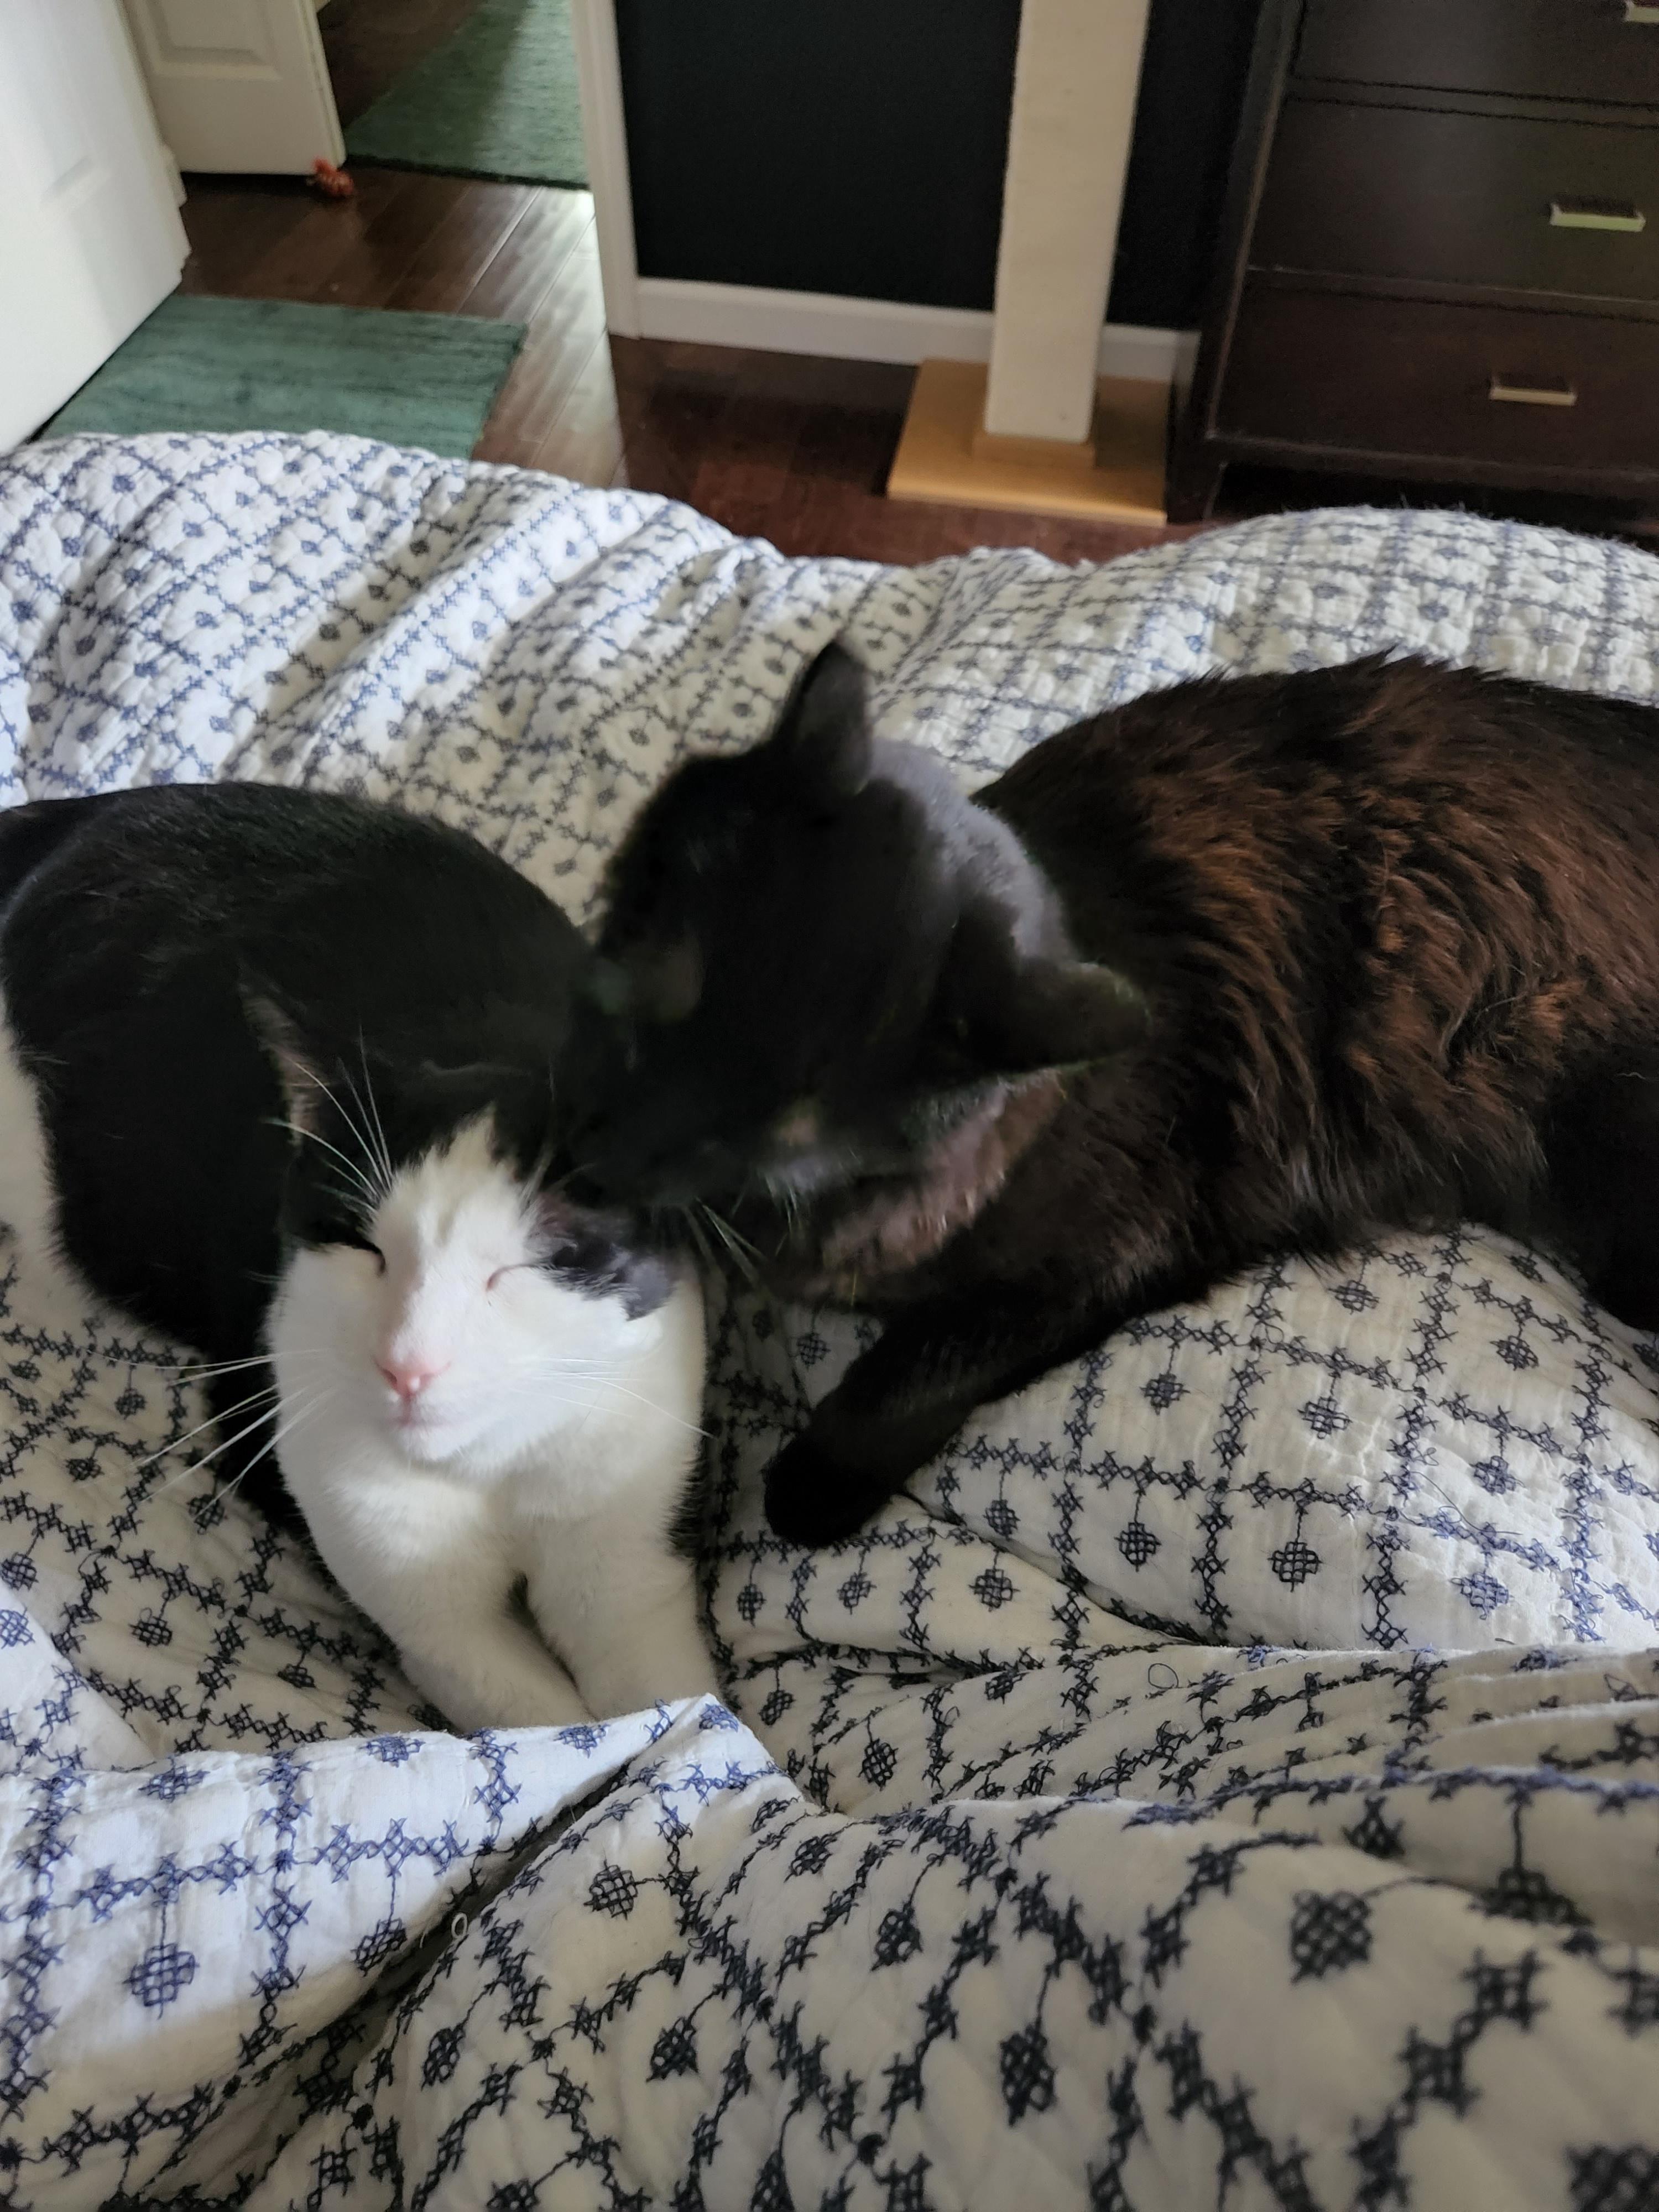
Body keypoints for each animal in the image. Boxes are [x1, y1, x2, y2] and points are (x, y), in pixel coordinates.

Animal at [0, 784, 713, 1730]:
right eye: (362, 1246)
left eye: (520, 1268)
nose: (408, 1365)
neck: (484, 1468)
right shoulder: (321, 1461)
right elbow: (540, 1717)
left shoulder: (635, 1501)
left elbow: (672, 1698)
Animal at [568, 640, 1659, 1546]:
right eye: (655, 996)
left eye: (790, 1121)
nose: (607, 1156)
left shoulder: (1113, 1252)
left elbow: (909, 1375)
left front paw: (806, 1490)